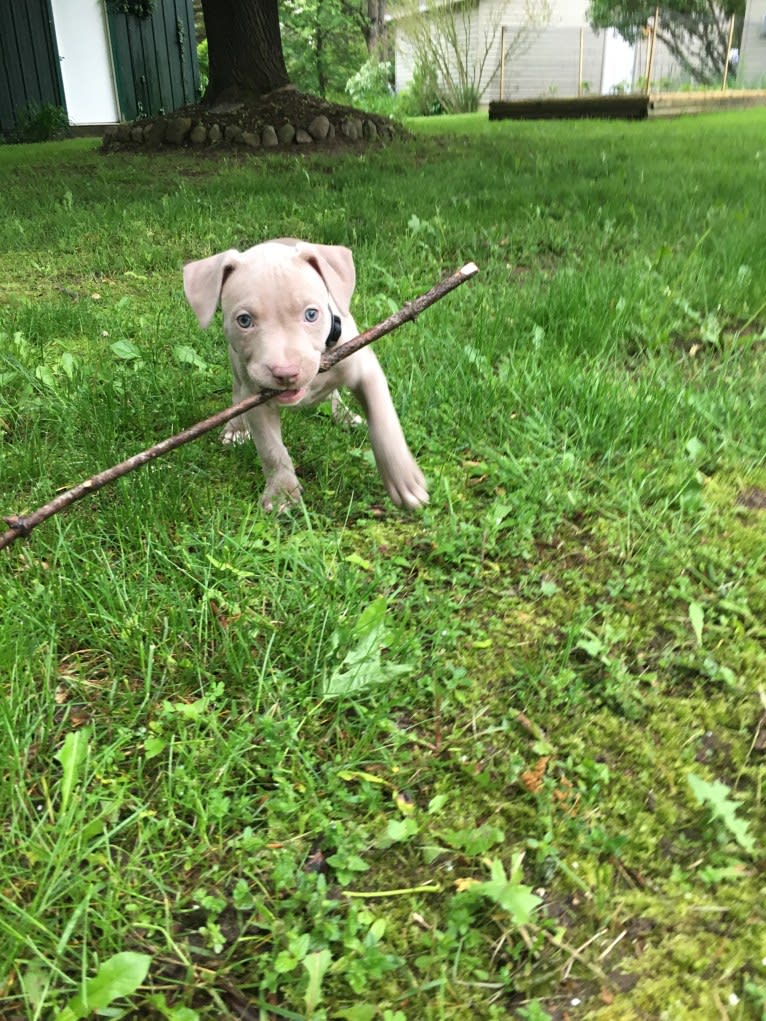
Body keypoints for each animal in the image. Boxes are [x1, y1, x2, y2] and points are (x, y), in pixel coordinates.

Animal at [182, 237, 428, 510]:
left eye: (311, 314)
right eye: (244, 321)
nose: (286, 373)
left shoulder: (365, 370)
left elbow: (384, 421)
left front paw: (403, 479)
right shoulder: (257, 400)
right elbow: (272, 449)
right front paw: (282, 493)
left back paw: (344, 415)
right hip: (238, 369)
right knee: (237, 393)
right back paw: (235, 428)